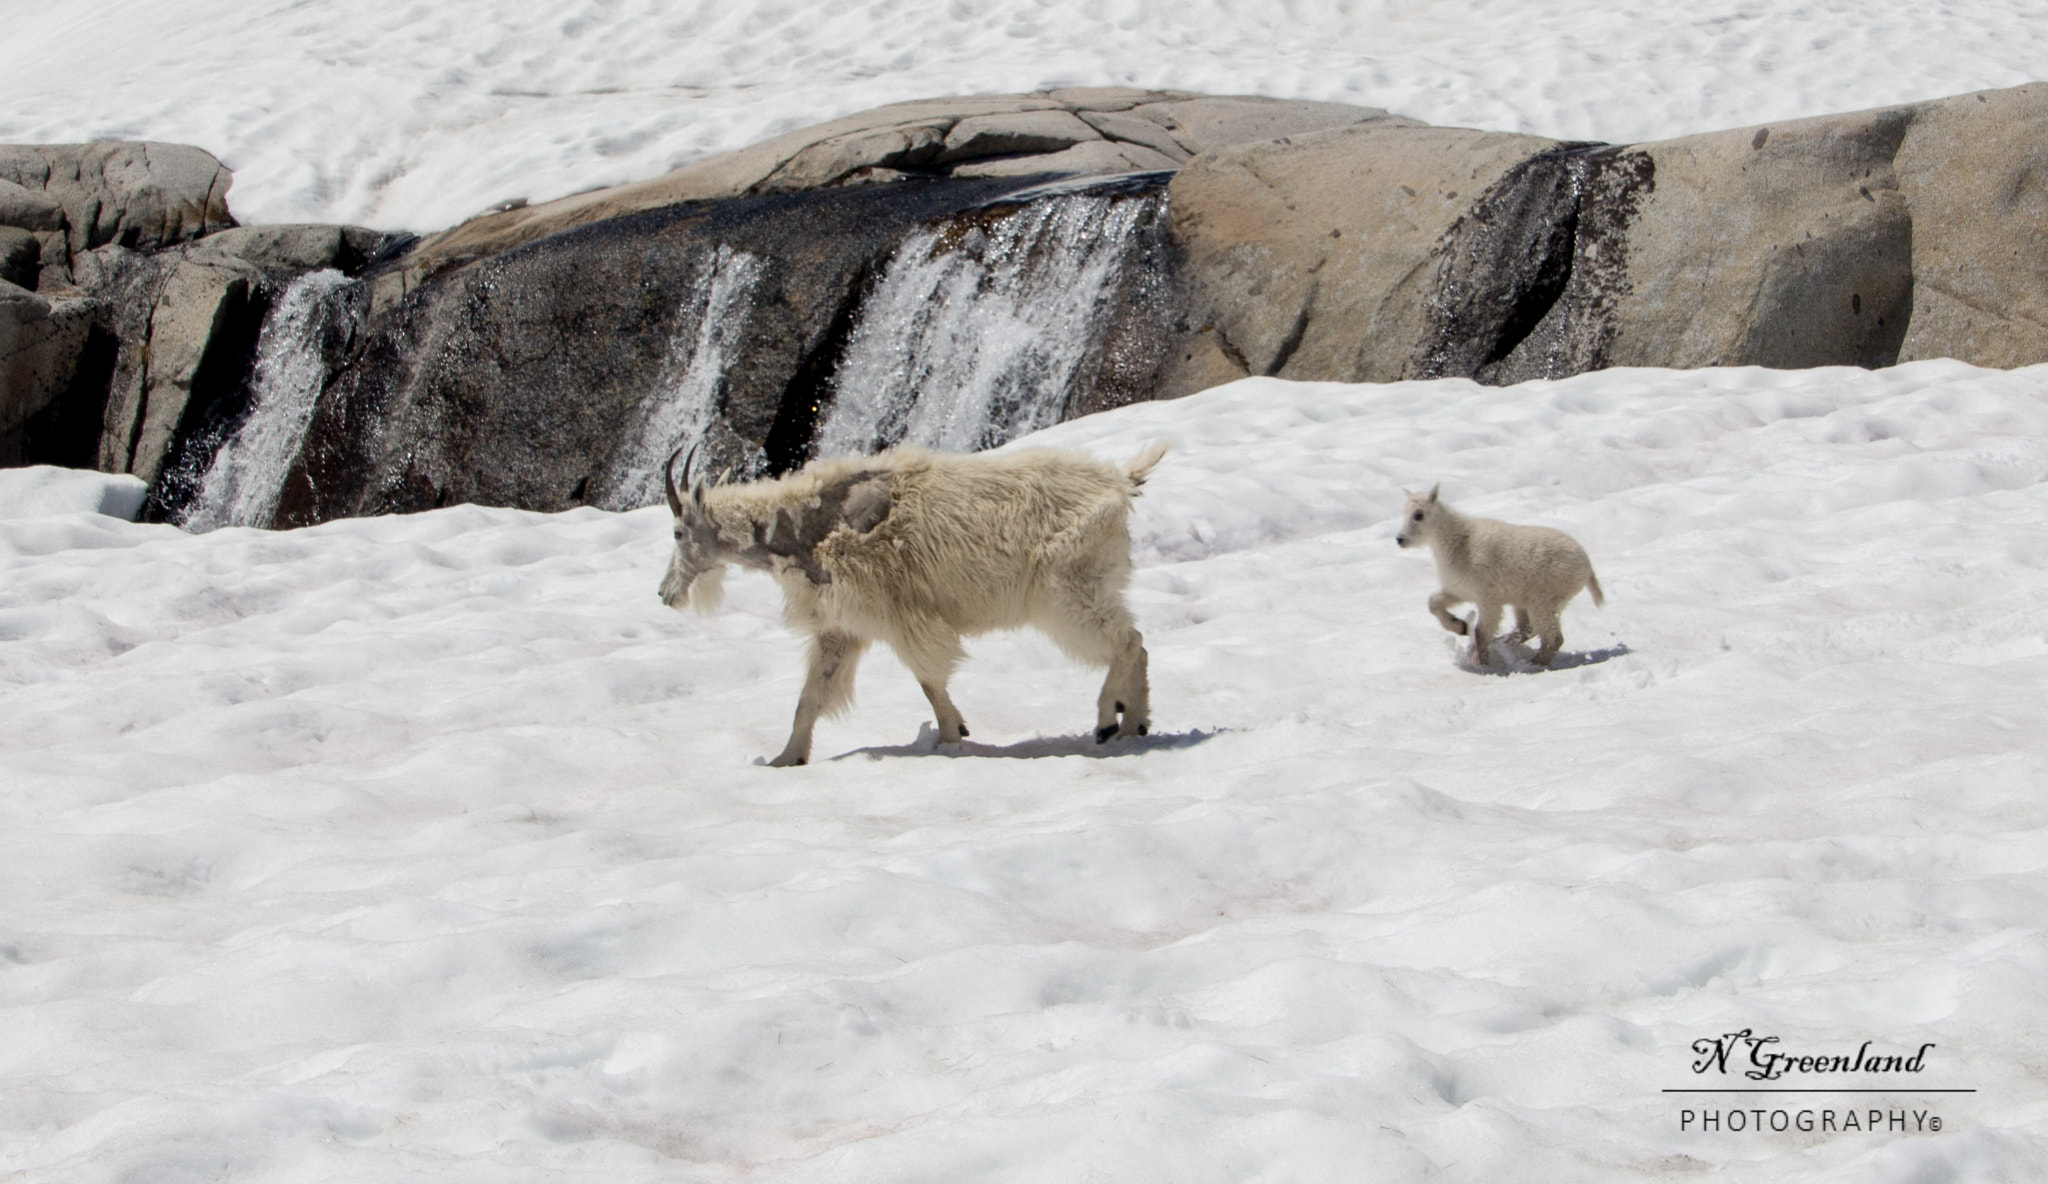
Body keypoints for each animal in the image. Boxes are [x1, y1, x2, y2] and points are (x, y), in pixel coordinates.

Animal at [660, 441, 1167, 765]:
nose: (665, 594)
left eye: (678, 532)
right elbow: (811, 697)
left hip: (1065, 591)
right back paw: (1133, 725)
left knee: (1125, 641)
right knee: (1137, 642)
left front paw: (951, 735)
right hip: (1089, 585)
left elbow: (928, 679)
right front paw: (787, 759)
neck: (806, 527)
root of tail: (1122, 481)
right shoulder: (842, 628)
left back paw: (1107, 721)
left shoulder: (903, 615)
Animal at [1394, 485, 1603, 666]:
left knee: (1553, 637)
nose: (1400, 539)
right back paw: (1505, 643)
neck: (1458, 541)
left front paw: (1478, 664)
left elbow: (1481, 632)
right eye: (1404, 513)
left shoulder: (1488, 597)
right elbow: (1433, 602)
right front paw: (1460, 627)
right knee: (1528, 628)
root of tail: (1588, 568)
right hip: (1526, 600)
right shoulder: (1460, 589)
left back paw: (1533, 663)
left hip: (1546, 597)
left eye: (1419, 515)